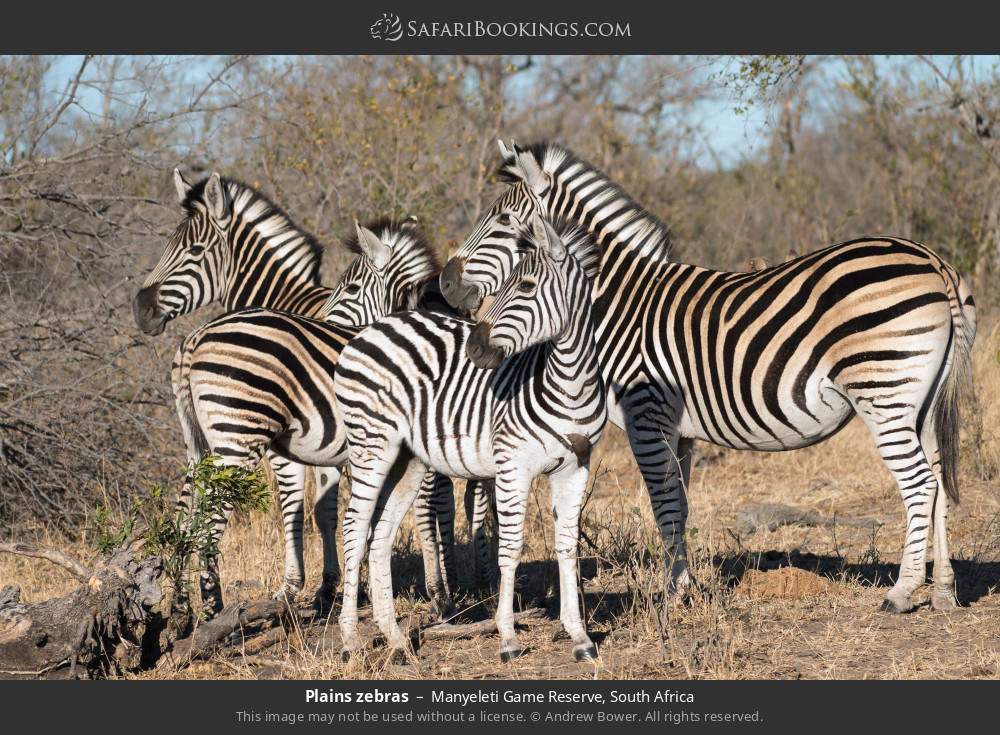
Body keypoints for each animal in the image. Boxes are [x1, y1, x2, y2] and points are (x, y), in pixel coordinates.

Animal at [333, 216, 606, 662]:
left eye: (526, 287)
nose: (476, 349)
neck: (570, 383)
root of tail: (371, 330)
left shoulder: (575, 466)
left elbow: (567, 547)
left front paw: (579, 636)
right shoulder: (513, 465)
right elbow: (509, 547)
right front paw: (508, 638)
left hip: (408, 459)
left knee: (381, 537)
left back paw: (395, 640)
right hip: (372, 445)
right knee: (355, 529)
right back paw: (351, 642)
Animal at [440, 140, 976, 616]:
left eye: (505, 223)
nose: (445, 284)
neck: (614, 305)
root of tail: (934, 261)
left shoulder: (646, 418)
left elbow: (663, 506)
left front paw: (670, 598)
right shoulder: (680, 431)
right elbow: (681, 505)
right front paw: (684, 587)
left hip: (884, 393)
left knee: (919, 485)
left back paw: (902, 593)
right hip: (921, 403)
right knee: (937, 482)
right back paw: (944, 591)